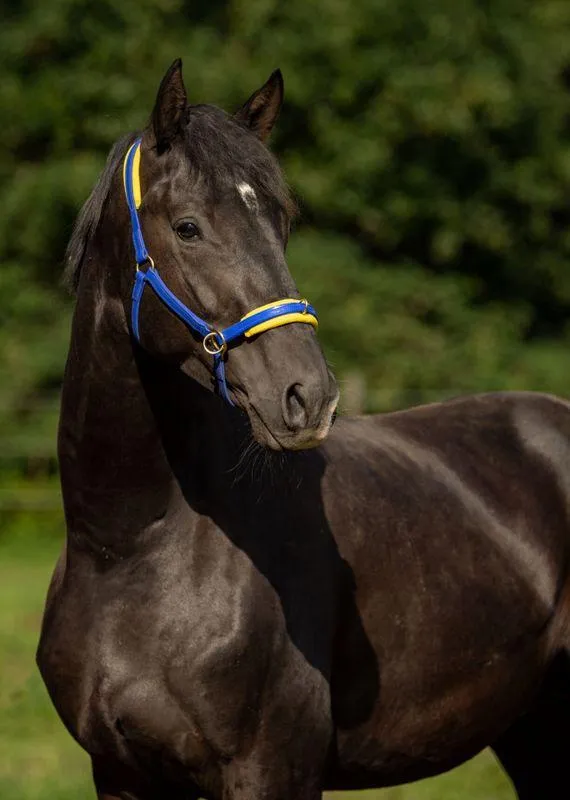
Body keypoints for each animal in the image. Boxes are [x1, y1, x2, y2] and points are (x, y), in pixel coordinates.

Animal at [37, 62, 568, 800]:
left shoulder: (273, 770)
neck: (129, 551)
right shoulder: (118, 774)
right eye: (188, 227)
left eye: (280, 223)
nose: (307, 396)